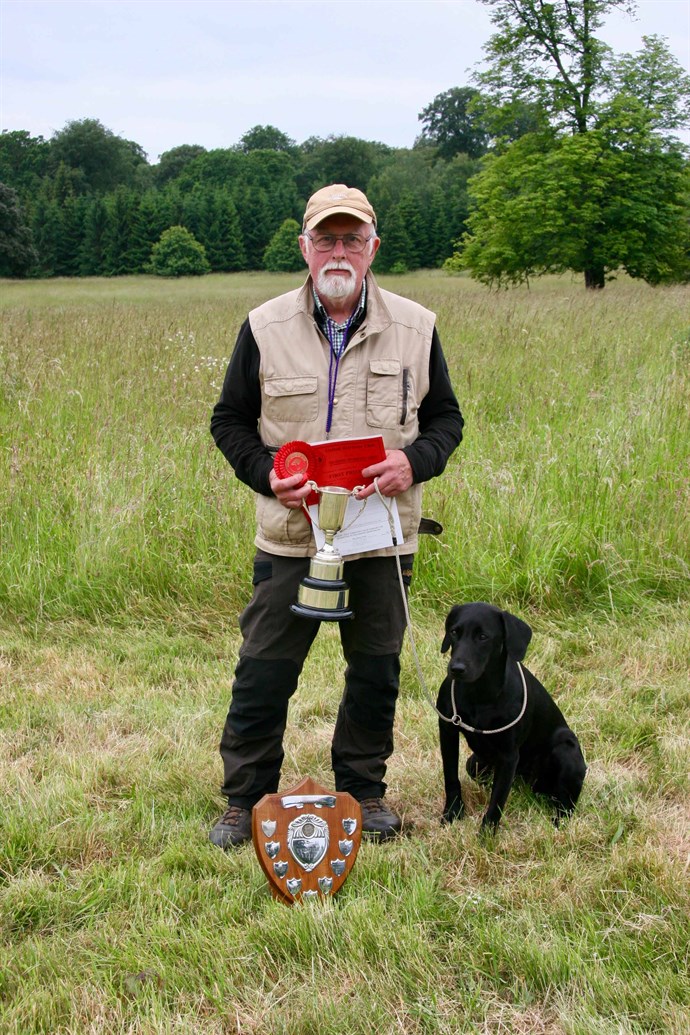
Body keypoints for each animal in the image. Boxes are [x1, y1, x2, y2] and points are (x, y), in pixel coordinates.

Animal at [440, 604, 587, 828]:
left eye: (483, 636)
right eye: (454, 632)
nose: (456, 669)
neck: (480, 695)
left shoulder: (508, 755)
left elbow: (497, 801)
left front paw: (487, 834)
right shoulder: (447, 731)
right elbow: (451, 779)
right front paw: (452, 813)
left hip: (567, 750)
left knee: (566, 805)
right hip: (476, 763)